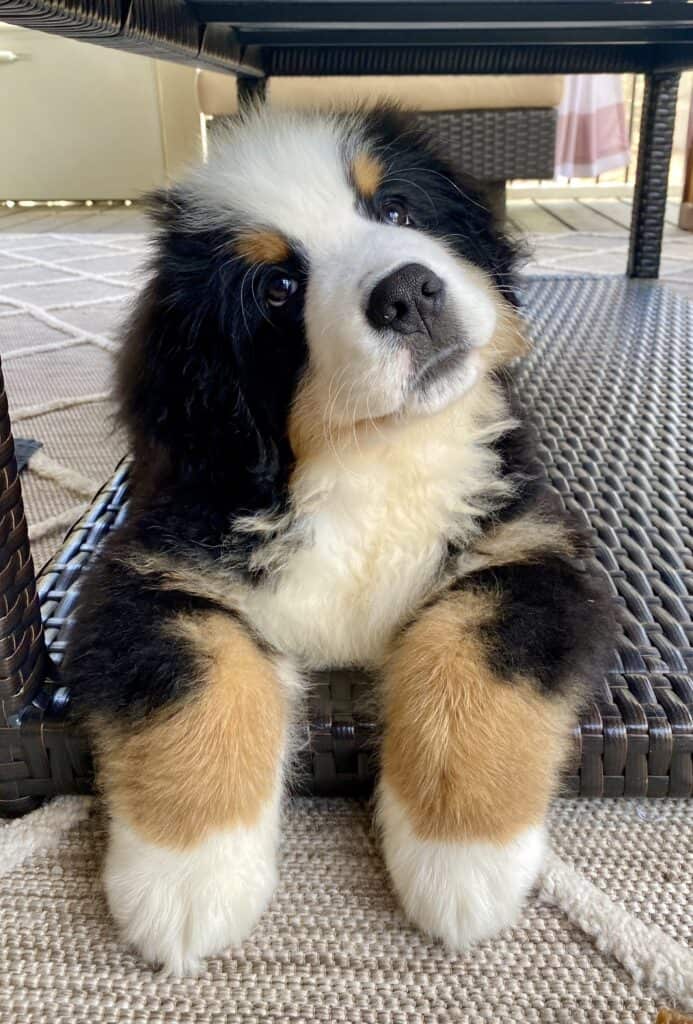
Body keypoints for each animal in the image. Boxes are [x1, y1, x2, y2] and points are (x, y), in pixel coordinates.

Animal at [67, 103, 614, 974]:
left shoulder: (528, 548)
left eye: (395, 210)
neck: (369, 460)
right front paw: (187, 877)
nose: (409, 293)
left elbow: (470, 656)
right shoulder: (149, 571)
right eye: (278, 288)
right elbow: (195, 679)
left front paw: (461, 860)